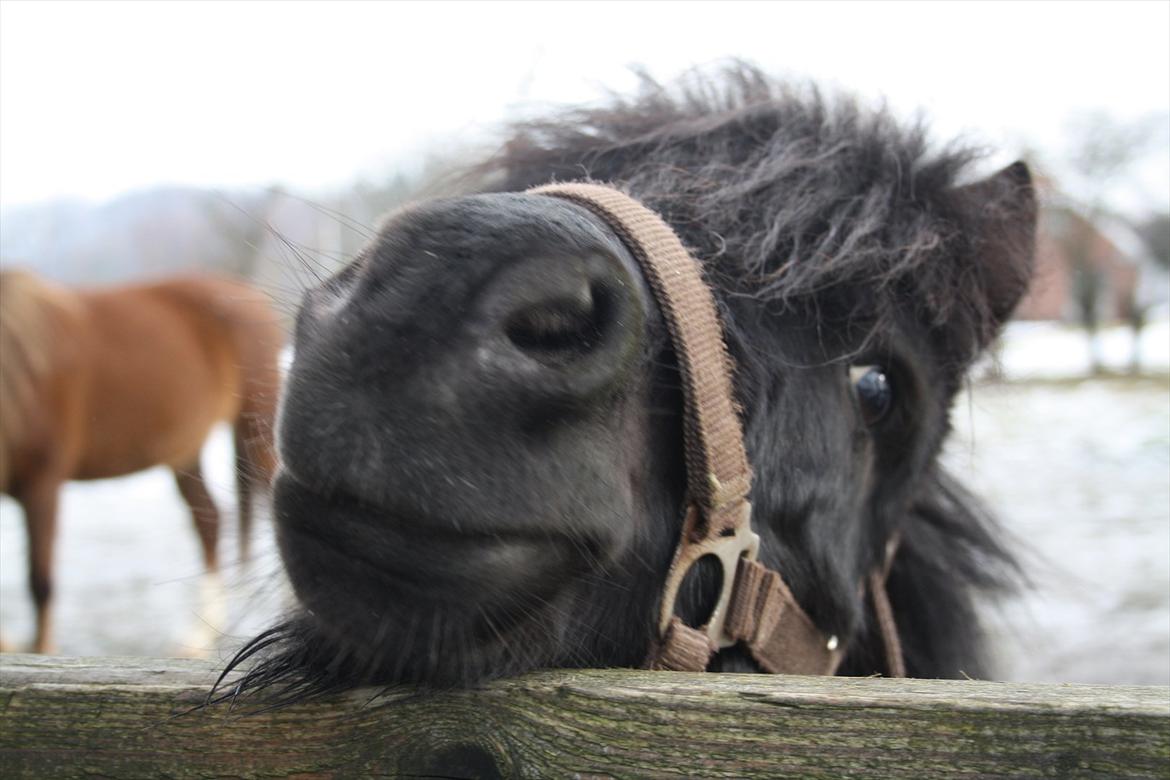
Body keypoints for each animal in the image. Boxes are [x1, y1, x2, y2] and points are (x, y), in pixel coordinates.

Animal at [0, 268, 283, 654]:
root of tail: (245, 293)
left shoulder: (42, 484)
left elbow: (39, 582)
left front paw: (42, 650)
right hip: (185, 453)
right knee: (208, 520)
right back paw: (200, 635)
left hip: (258, 429)